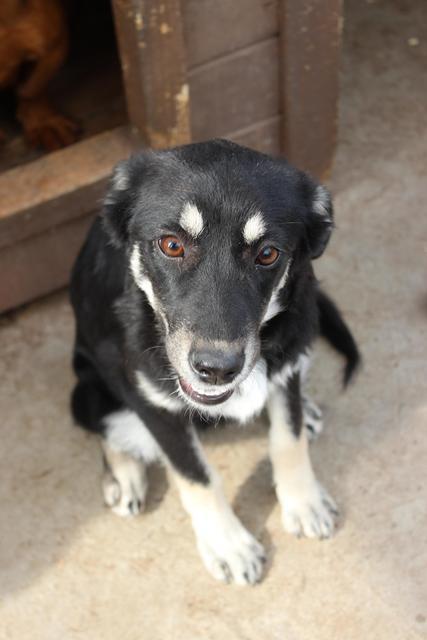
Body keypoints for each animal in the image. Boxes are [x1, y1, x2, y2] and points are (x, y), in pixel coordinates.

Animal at [69, 139, 358, 584]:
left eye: (268, 253)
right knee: (104, 422)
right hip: (90, 384)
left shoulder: (288, 360)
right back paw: (123, 472)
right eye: (172, 244)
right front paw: (229, 545)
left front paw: (303, 501)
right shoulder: (155, 405)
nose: (217, 368)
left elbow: (288, 437)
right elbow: (197, 476)